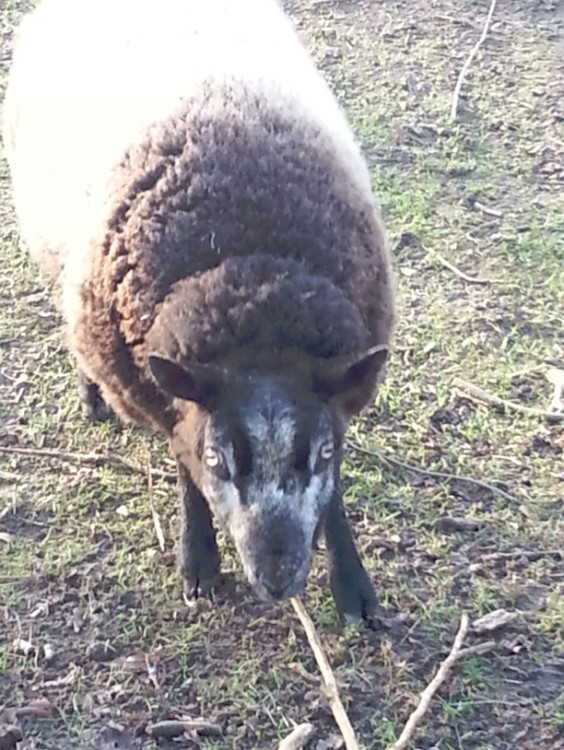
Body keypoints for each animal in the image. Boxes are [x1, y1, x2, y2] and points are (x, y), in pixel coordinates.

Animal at [2, 0, 394, 624]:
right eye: (219, 459)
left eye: (321, 453)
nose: (278, 581)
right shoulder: (163, 395)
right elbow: (184, 469)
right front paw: (199, 561)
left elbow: (334, 495)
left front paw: (353, 587)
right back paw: (91, 398)